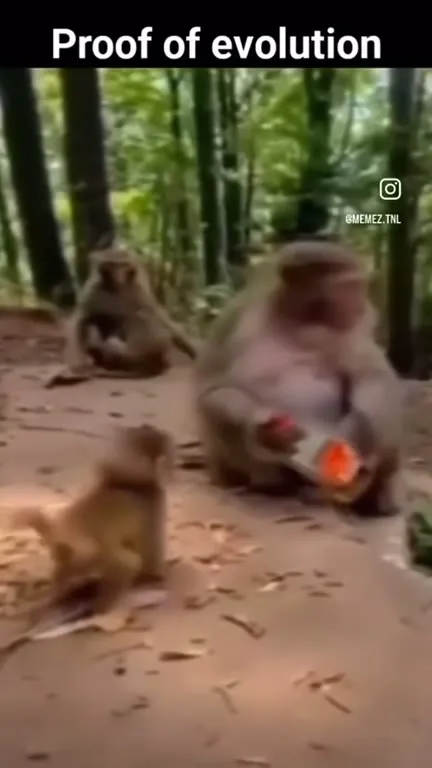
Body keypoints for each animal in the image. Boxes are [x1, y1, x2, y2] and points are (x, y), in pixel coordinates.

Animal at [65, 247, 197, 378]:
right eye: (112, 264)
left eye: (123, 264)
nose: (119, 275)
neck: (116, 289)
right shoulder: (93, 290)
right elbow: (83, 319)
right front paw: (83, 361)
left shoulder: (139, 289)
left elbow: (155, 315)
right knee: (94, 320)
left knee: (140, 316)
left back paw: (124, 352)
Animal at [195, 239, 403, 516]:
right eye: (352, 286)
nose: (368, 306)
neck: (297, 321)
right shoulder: (234, 318)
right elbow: (212, 390)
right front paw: (266, 431)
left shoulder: (351, 332)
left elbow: (373, 379)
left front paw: (351, 441)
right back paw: (269, 484)